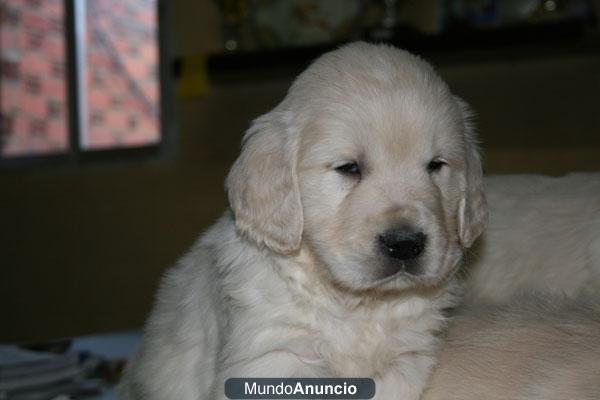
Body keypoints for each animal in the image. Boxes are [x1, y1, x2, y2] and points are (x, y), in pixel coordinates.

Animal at [117, 41, 488, 400]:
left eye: (436, 165)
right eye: (349, 168)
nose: (406, 245)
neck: (356, 305)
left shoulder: (402, 362)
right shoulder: (275, 356)